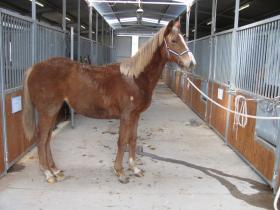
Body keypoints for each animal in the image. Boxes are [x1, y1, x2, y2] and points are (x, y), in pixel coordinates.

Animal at [22, 19, 197, 184]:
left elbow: (132, 140)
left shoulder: (136, 115)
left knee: (47, 139)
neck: (135, 79)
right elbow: (122, 141)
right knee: (41, 138)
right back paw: (47, 173)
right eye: (174, 40)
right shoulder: (126, 116)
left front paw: (134, 168)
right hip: (47, 111)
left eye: (183, 38)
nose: (191, 62)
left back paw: (55, 170)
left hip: (54, 110)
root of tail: (34, 68)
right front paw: (120, 172)